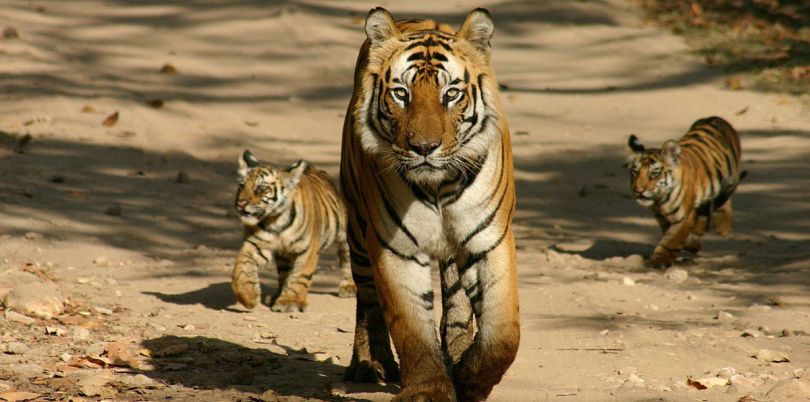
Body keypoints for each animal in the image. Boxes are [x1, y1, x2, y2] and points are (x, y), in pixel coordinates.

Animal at [340, 7, 516, 402]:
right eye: (401, 94)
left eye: (451, 94)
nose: (423, 147)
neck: (439, 186)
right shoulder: (396, 248)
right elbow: (411, 329)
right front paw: (428, 390)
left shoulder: (489, 240)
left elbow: (503, 333)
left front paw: (469, 381)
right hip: (358, 228)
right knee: (367, 298)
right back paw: (370, 363)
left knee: (457, 302)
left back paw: (457, 349)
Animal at [624, 115, 744, 266]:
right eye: (635, 172)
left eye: (654, 174)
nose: (638, 190)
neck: (659, 201)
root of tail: (715, 117)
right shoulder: (663, 218)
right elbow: (674, 236)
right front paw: (694, 243)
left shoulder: (683, 217)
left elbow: (670, 241)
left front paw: (658, 261)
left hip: (731, 178)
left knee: (725, 197)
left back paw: (723, 227)